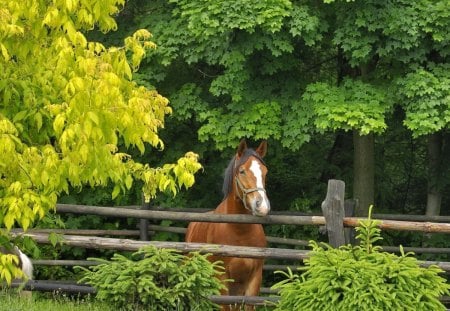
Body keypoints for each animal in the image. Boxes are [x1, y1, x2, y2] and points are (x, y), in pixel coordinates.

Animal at [185, 140, 268, 310]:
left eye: (265, 171)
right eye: (242, 171)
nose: (262, 206)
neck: (239, 232)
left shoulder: (254, 278)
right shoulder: (221, 277)